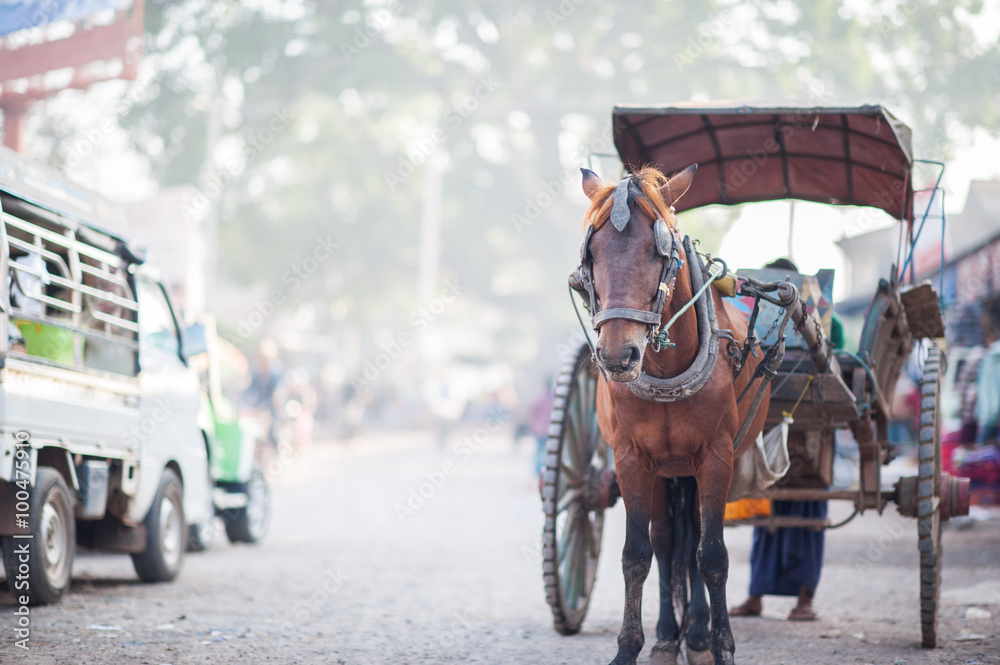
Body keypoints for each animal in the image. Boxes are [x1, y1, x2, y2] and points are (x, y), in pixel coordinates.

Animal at [576, 165, 770, 665]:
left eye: (658, 251)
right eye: (592, 255)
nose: (617, 356)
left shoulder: (717, 457)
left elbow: (712, 555)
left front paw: (722, 645)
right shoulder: (629, 459)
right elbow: (637, 553)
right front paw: (629, 647)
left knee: (695, 542)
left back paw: (697, 634)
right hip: (665, 470)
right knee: (667, 544)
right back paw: (667, 635)